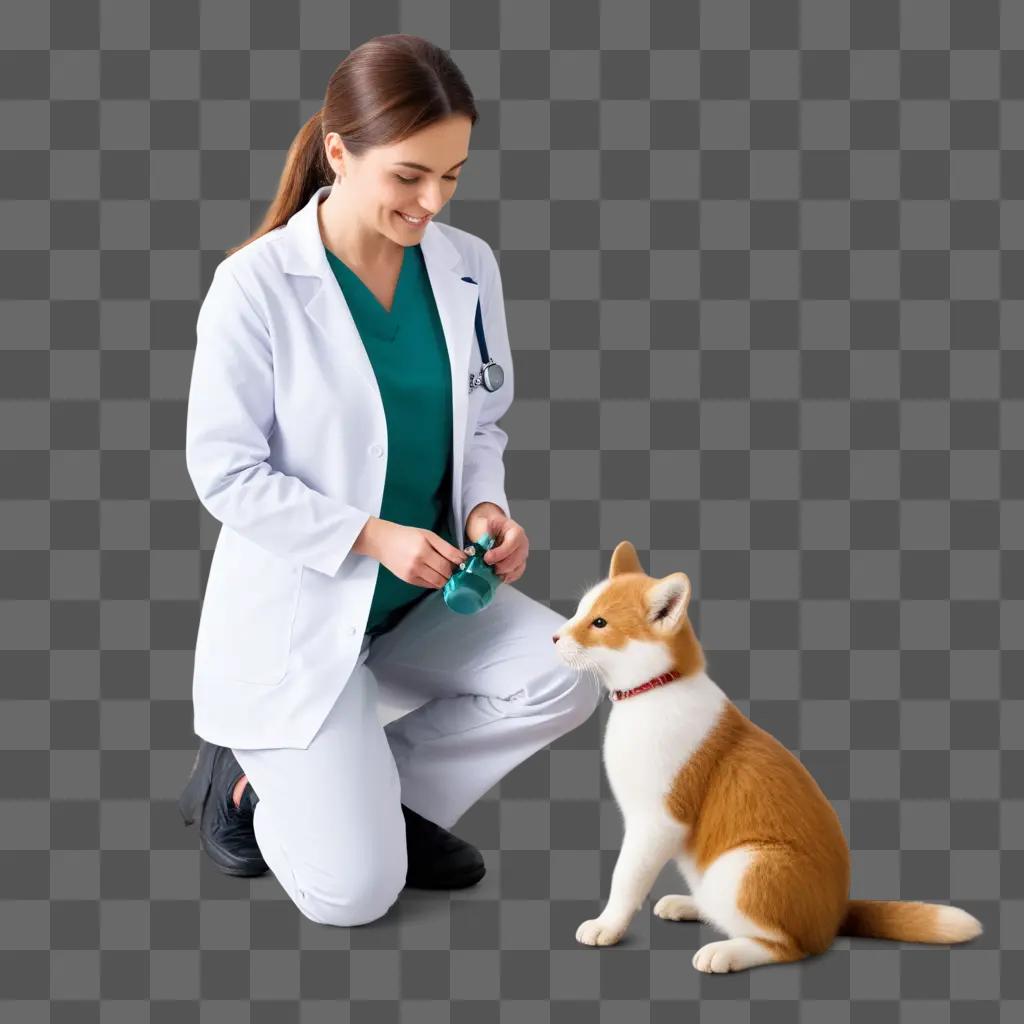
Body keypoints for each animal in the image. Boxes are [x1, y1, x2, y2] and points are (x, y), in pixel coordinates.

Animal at [552, 540, 983, 970]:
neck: (658, 691)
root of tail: (837, 914)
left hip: (744, 867)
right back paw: (689, 904)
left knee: (789, 946)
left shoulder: (656, 822)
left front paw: (607, 925)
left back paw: (724, 952)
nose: (554, 638)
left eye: (600, 623)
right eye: (579, 611)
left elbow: (625, 877)